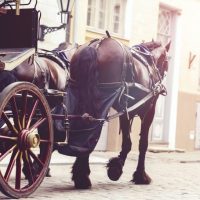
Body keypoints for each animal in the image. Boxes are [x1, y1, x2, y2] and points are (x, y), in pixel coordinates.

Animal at [67, 37, 170, 189]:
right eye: (167, 61)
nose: (161, 86)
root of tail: (96, 46)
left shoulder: (125, 110)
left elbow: (127, 141)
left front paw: (117, 166)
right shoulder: (148, 111)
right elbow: (141, 144)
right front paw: (134, 173)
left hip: (80, 97)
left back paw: (80, 174)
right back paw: (83, 176)